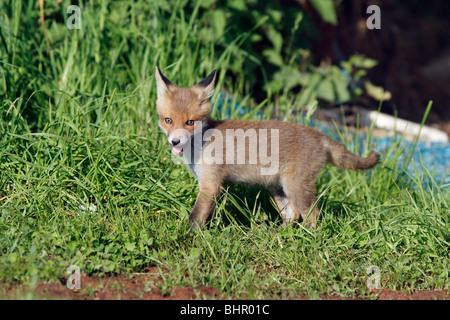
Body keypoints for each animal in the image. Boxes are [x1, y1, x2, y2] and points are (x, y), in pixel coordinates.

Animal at [156, 66, 380, 229]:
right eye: (168, 120)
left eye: (190, 122)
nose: (175, 142)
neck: (201, 143)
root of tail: (320, 135)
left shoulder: (210, 184)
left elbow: (195, 217)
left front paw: (188, 237)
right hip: (278, 188)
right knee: (293, 214)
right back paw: (279, 236)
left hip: (295, 186)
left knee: (313, 215)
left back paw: (310, 240)